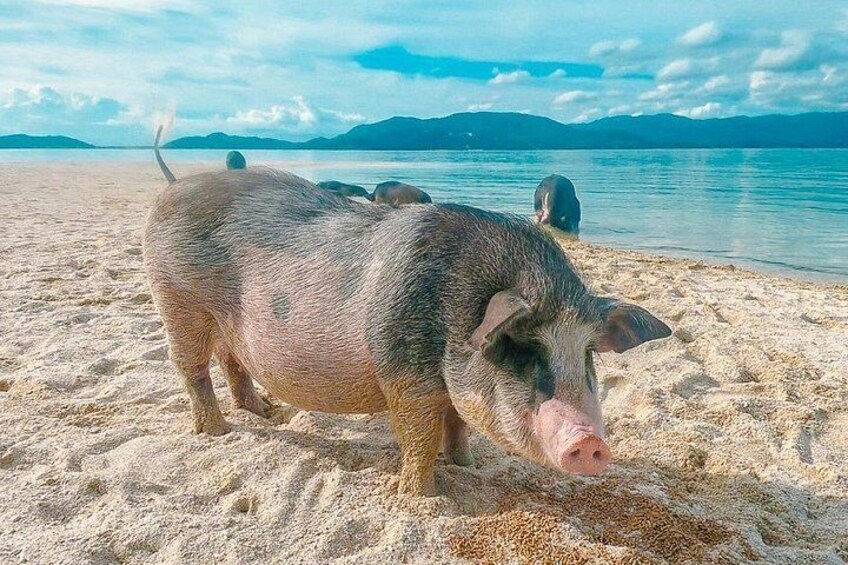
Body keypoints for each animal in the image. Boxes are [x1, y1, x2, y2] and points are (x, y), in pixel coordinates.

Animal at [143, 155, 671, 497]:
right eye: (521, 348)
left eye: (587, 354)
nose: (590, 442)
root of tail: (171, 189)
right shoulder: (401, 375)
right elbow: (417, 436)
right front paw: (418, 496)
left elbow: (458, 424)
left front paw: (468, 464)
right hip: (176, 299)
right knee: (190, 367)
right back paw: (217, 432)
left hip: (223, 322)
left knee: (231, 360)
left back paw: (266, 412)